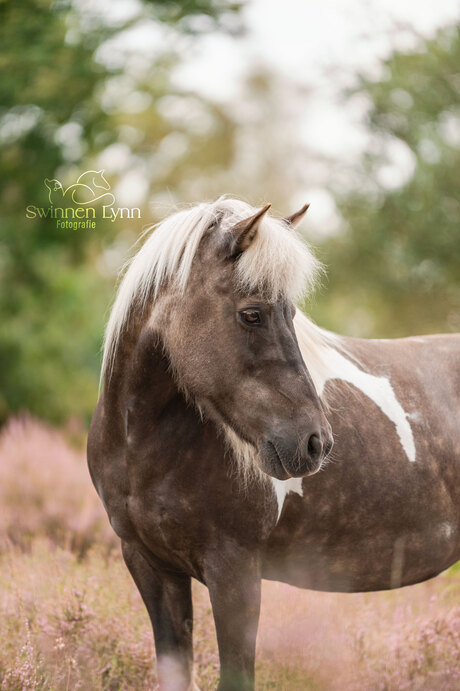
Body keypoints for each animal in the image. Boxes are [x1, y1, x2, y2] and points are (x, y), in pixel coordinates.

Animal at [87, 197, 460, 688]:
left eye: (293, 315)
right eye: (252, 314)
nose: (315, 443)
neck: (141, 453)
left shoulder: (236, 572)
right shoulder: (150, 566)